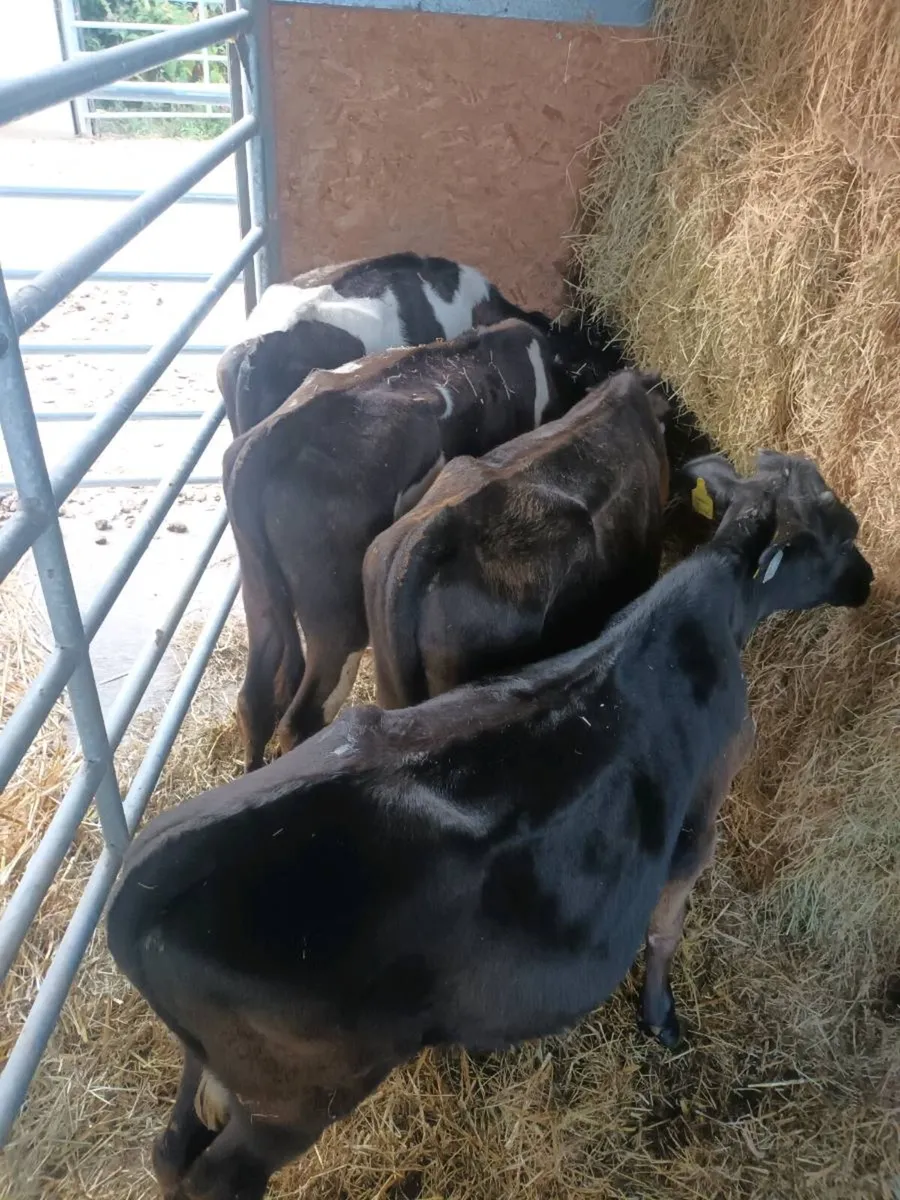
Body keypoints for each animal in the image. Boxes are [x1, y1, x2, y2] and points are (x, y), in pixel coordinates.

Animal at [107, 449, 872, 1200]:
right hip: (296, 1096)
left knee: (170, 1153)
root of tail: (146, 875)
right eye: (839, 526)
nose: (868, 582)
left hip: (215, 1067)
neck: (711, 603)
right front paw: (660, 1016)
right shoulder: (699, 818)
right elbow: (666, 928)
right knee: (217, 1175)